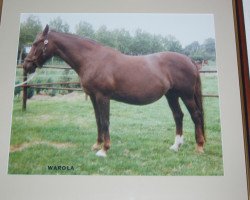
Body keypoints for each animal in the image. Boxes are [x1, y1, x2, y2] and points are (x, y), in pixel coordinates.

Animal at [23, 25, 205, 156]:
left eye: (37, 43)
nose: (26, 65)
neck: (92, 59)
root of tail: (189, 60)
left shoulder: (103, 97)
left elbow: (105, 121)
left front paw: (104, 149)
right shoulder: (93, 97)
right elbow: (98, 120)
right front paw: (97, 145)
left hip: (186, 95)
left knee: (195, 115)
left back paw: (200, 146)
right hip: (171, 95)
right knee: (178, 116)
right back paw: (176, 146)